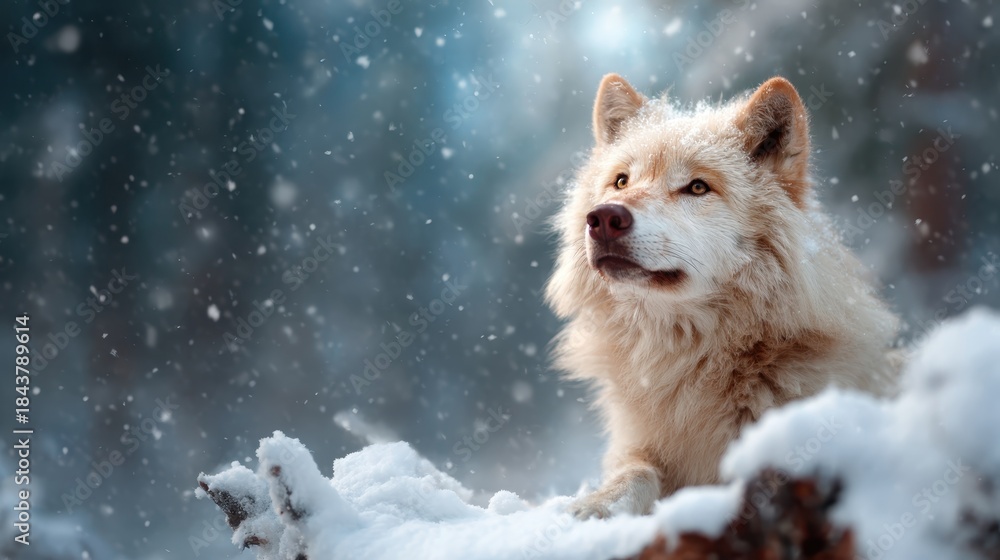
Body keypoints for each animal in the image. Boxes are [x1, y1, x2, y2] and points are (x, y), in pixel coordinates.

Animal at [545, 74, 900, 519]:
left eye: (697, 187)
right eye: (622, 181)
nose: (605, 217)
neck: (690, 359)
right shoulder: (640, 446)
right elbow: (635, 472)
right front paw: (597, 504)